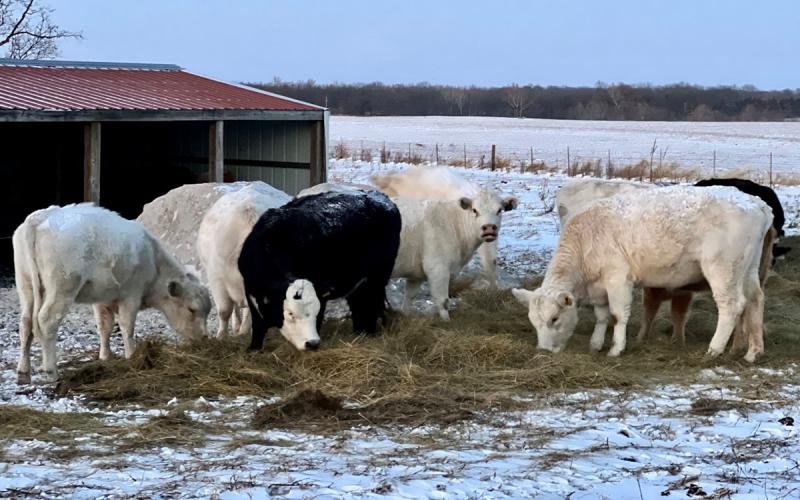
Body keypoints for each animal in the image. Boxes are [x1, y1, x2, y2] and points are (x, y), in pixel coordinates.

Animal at [14, 204, 211, 384]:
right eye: (192, 309)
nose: (204, 338)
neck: (153, 261)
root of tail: (41, 217)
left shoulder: (101, 298)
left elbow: (104, 326)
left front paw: (105, 356)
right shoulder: (132, 295)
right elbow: (127, 326)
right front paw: (132, 356)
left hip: (26, 285)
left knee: (26, 323)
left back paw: (23, 371)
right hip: (62, 288)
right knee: (47, 320)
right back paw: (52, 372)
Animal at [238, 191, 401, 351]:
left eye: (315, 311)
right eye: (290, 313)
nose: (312, 343)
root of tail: (381, 196)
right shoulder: (250, 288)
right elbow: (257, 322)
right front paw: (253, 348)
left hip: (378, 277)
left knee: (371, 303)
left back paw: (368, 333)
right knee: (360, 303)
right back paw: (359, 332)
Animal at [512, 186, 773, 363]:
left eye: (554, 319)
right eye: (533, 322)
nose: (544, 350)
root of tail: (756, 202)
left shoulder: (618, 278)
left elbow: (618, 314)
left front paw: (616, 348)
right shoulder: (599, 287)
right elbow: (602, 315)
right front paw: (596, 344)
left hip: (722, 268)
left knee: (731, 305)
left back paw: (715, 349)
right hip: (747, 269)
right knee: (755, 300)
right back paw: (753, 352)